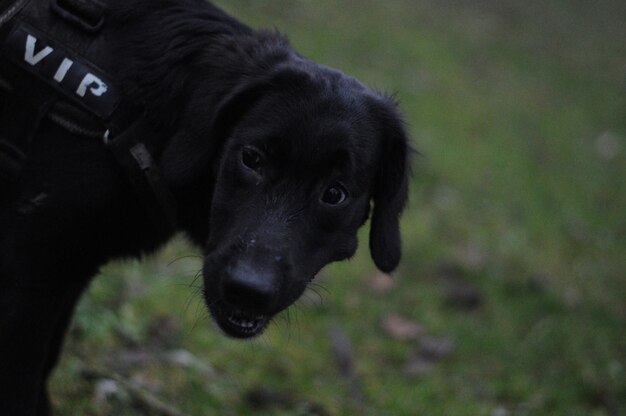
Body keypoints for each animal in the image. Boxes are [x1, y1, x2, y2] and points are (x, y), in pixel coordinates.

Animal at [0, 0, 410, 412]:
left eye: (335, 194)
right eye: (251, 158)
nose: (249, 288)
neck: (146, 114)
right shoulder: (29, 266)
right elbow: (22, 382)